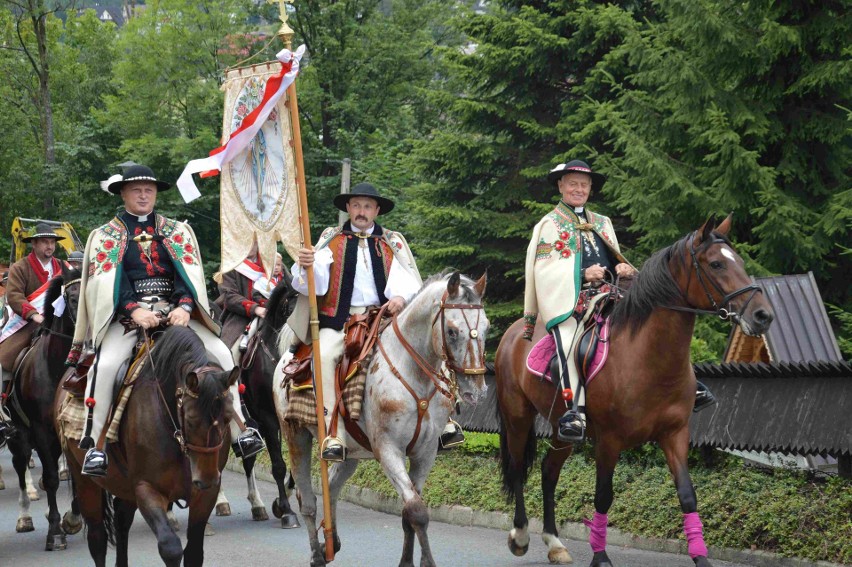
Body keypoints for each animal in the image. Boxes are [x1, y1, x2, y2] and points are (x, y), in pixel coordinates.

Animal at [5, 270, 83, 552]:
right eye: (72, 298)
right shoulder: (39, 430)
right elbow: (50, 477)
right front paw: (55, 532)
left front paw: (72, 519)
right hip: (18, 433)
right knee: (20, 464)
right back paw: (25, 516)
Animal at [57, 324, 238, 567]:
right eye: (190, 419)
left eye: (228, 417)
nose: (207, 478)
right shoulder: (147, 488)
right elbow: (171, 548)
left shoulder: (205, 495)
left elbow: (193, 553)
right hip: (84, 479)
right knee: (97, 538)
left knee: (121, 522)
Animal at [276, 272, 490, 567]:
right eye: (452, 331)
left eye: (487, 329)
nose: (476, 390)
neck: (412, 375)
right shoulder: (388, 450)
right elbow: (417, 511)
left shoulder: (425, 453)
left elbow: (408, 513)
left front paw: (407, 561)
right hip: (295, 435)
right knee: (306, 499)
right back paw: (317, 554)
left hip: (351, 453)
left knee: (330, 486)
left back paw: (331, 543)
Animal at [496, 214, 776, 567]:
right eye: (716, 264)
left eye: (738, 260)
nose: (763, 315)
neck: (647, 358)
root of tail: (515, 331)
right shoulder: (609, 440)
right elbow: (603, 496)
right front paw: (600, 556)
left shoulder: (674, 434)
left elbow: (688, 495)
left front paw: (701, 558)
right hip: (517, 416)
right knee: (518, 469)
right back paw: (520, 535)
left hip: (563, 428)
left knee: (549, 472)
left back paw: (555, 543)